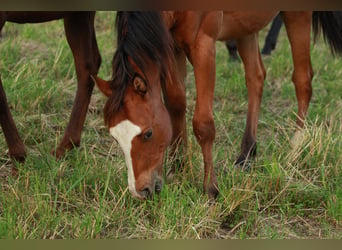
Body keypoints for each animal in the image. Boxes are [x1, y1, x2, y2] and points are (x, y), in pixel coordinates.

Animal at [94, 10, 342, 200]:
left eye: (148, 133)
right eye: (115, 137)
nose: (140, 191)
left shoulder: (204, 46)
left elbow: (203, 124)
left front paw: (210, 188)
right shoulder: (171, 44)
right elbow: (175, 103)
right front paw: (180, 168)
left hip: (296, 14)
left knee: (303, 80)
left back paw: (295, 146)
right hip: (246, 26)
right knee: (256, 76)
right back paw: (246, 153)